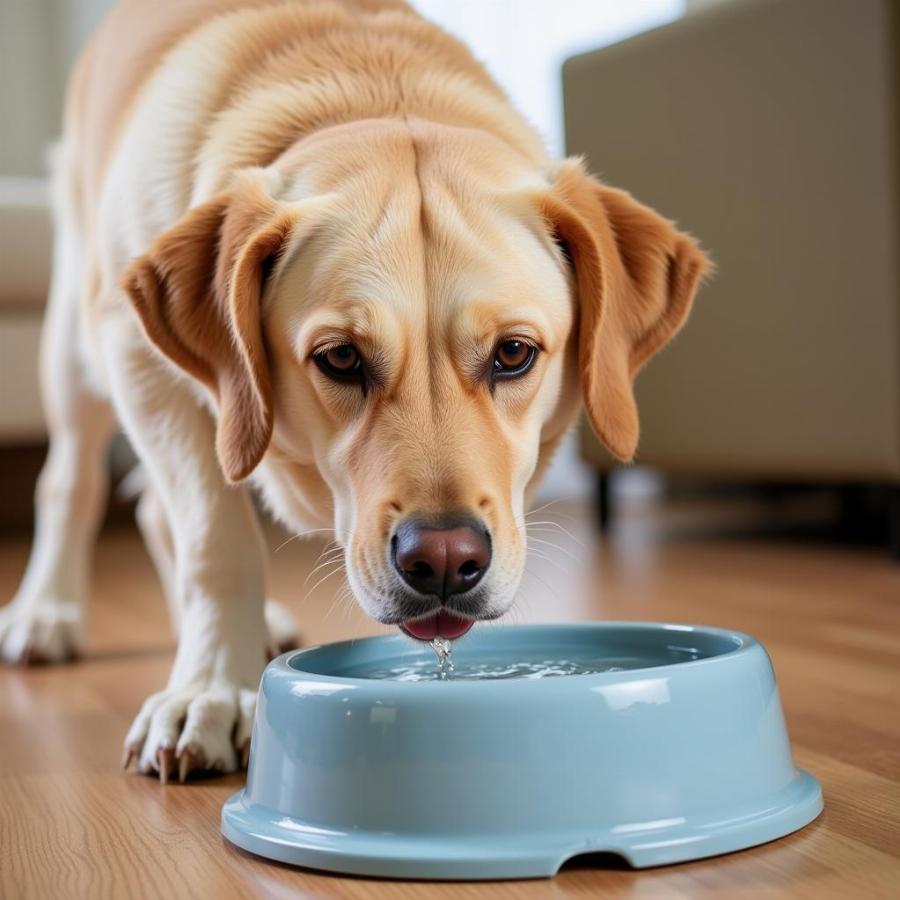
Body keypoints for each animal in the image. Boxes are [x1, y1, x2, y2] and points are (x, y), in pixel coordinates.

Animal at [0, 0, 708, 780]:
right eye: (340, 357)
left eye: (514, 354)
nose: (444, 561)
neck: (374, 89)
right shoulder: (139, 362)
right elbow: (217, 543)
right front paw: (208, 692)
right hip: (77, 342)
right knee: (71, 483)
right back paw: (47, 613)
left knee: (155, 509)